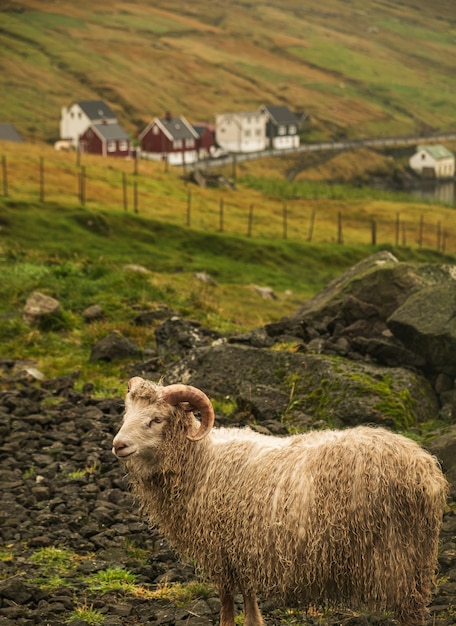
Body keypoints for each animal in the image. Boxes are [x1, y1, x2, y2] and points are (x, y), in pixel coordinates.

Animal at [112, 376, 448, 624]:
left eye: (156, 419)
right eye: (127, 414)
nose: (118, 445)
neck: (201, 460)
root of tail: (426, 470)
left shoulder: (220, 550)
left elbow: (226, 603)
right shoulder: (242, 547)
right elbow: (248, 596)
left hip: (397, 554)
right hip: (416, 557)